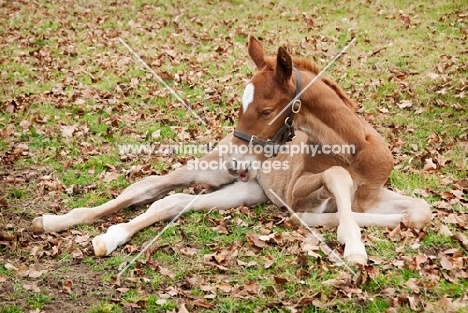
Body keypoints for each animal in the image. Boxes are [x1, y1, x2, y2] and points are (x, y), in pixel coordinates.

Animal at [30, 37, 432, 264]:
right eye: (240, 106)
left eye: (266, 111)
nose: (240, 159)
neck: (356, 154)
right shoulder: (295, 192)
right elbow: (334, 177)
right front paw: (351, 243)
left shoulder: (371, 196)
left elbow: (419, 212)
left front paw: (355, 227)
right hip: (213, 168)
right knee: (147, 187)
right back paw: (58, 222)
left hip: (245, 190)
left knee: (172, 203)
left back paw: (109, 238)